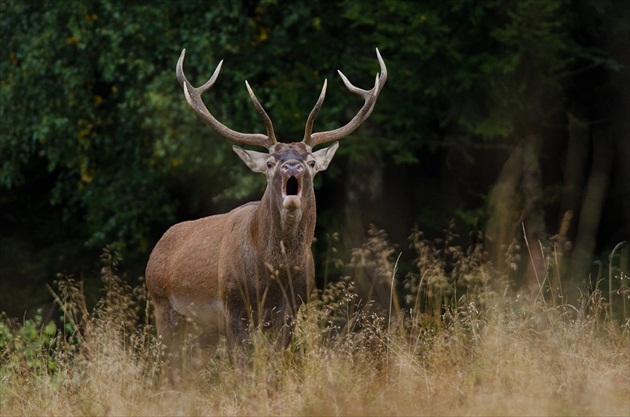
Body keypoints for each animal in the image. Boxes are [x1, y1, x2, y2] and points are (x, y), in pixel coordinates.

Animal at [146, 48, 388, 370]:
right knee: (169, 366)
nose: (292, 166)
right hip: (163, 305)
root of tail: (156, 250)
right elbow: (241, 367)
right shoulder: (233, 306)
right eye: (271, 162)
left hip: (201, 329)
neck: (273, 277)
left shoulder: (293, 309)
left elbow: (275, 365)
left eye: (311, 161)